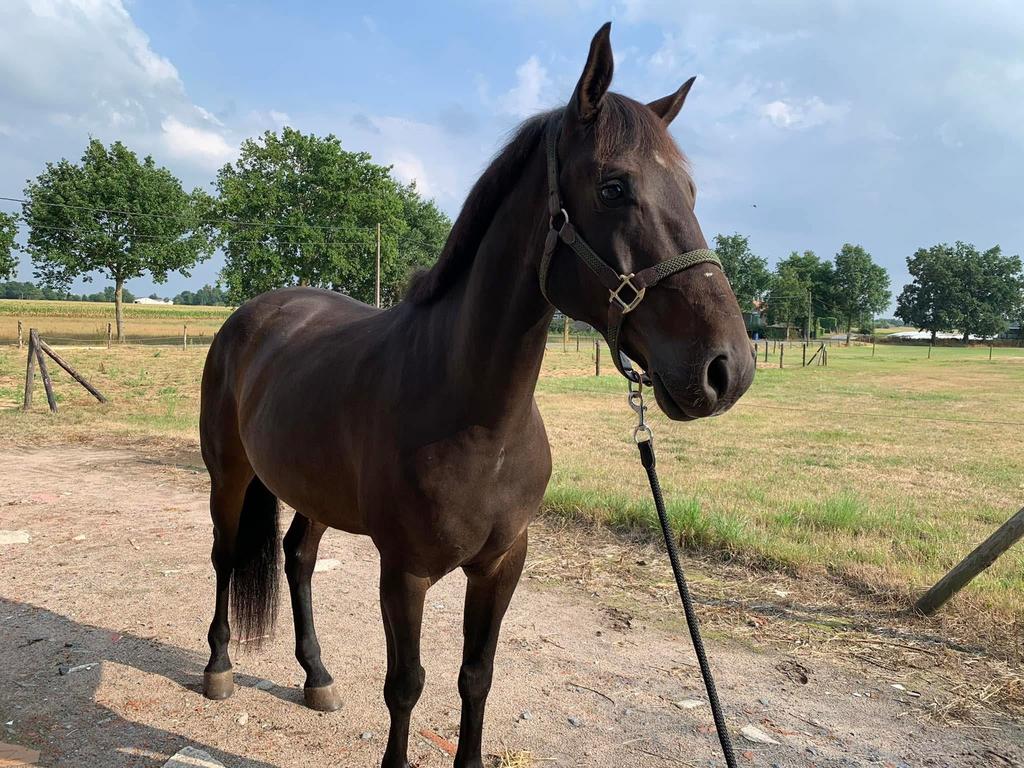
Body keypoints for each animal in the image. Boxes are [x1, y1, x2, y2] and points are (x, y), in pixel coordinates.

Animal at [198, 22, 755, 768]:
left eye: (691, 190)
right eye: (614, 187)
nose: (728, 368)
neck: (478, 418)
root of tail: (254, 314)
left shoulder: (500, 565)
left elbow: (476, 676)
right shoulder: (404, 572)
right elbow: (406, 684)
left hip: (314, 491)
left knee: (298, 559)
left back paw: (317, 676)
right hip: (229, 475)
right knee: (226, 557)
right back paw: (219, 667)